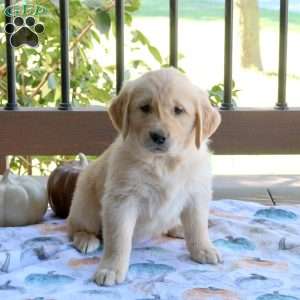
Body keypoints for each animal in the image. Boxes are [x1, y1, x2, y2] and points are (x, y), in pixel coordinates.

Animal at [67, 67, 221, 286]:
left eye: (178, 110)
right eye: (145, 108)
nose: (158, 136)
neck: (164, 163)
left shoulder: (196, 193)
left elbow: (198, 226)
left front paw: (203, 249)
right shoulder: (121, 200)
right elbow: (118, 239)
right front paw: (111, 269)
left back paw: (178, 228)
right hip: (84, 204)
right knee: (74, 227)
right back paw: (86, 239)